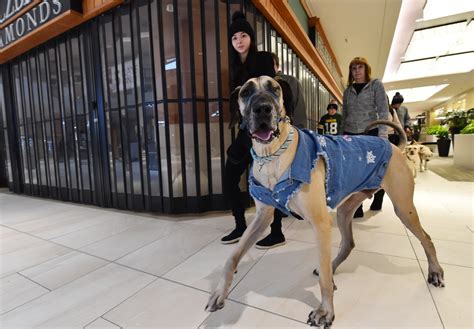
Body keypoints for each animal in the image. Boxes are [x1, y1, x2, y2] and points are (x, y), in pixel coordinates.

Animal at [205, 76, 444, 326]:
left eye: (275, 89)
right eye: (246, 92)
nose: (262, 108)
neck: (273, 154)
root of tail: (396, 147)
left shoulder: (320, 224)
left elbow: (325, 283)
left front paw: (325, 311)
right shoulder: (262, 217)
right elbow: (232, 257)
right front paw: (219, 293)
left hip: (403, 208)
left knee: (426, 238)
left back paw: (435, 272)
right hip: (345, 211)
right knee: (348, 244)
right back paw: (332, 266)